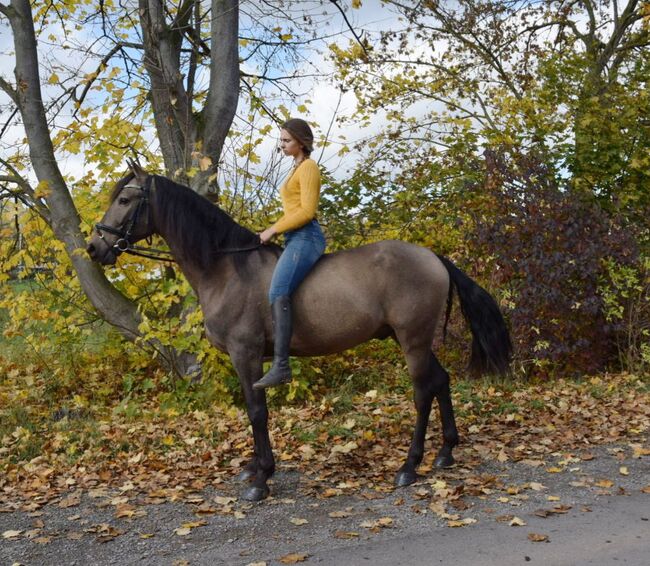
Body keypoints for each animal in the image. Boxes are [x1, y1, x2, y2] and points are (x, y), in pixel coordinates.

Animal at [87, 162, 512, 504]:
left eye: (124, 199)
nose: (94, 247)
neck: (226, 269)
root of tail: (432, 257)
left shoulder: (245, 353)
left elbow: (256, 411)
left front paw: (262, 478)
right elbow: (252, 412)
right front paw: (254, 466)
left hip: (413, 340)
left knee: (423, 393)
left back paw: (409, 466)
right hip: (410, 338)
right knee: (441, 381)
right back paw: (446, 453)